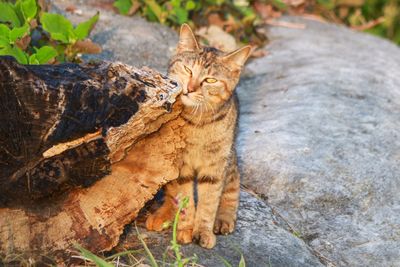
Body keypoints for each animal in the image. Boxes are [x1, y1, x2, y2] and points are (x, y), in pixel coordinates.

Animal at [144, 24, 250, 250]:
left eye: (210, 80)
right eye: (188, 70)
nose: (190, 89)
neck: (198, 122)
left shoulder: (215, 168)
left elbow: (209, 201)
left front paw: (202, 230)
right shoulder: (180, 167)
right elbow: (183, 199)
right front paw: (185, 229)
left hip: (230, 157)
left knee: (233, 184)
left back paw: (224, 218)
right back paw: (164, 215)